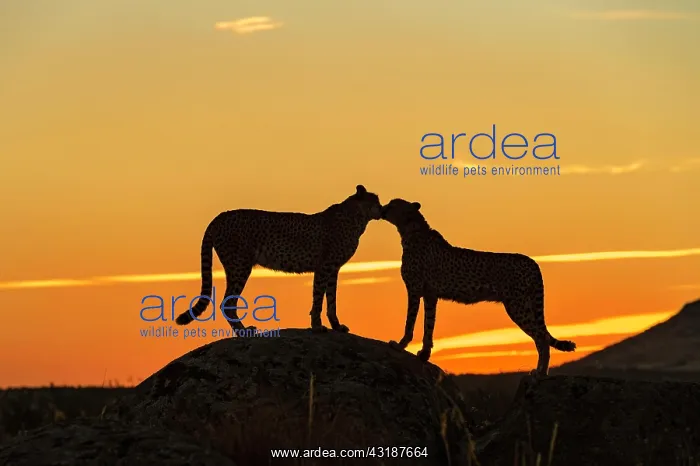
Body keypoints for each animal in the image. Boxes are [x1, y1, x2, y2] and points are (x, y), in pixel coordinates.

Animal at [175, 185, 382, 334]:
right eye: (375, 200)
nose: (382, 209)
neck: (357, 216)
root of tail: (220, 215)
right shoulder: (324, 267)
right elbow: (317, 298)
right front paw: (316, 326)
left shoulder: (333, 269)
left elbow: (331, 299)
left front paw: (337, 326)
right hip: (240, 266)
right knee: (227, 303)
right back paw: (242, 332)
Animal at [380, 198, 576, 377]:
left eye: (392, 204)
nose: (382, 208)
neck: (412, 231)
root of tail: (532, 262)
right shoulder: (430, 295)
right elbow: (429, 325)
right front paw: (424, 354)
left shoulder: (414, 290)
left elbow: (410, 322)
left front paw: (400, 345)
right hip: (525, 304)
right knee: (541, 336)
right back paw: (541, 371)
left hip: (517, 306)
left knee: (542, 337)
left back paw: (540, 373)